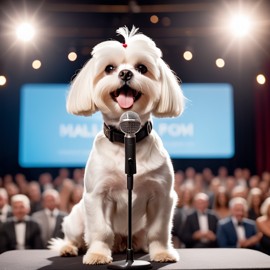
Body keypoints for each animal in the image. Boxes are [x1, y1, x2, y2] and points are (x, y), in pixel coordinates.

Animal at [49, 26, 185, 264]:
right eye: (109, 68)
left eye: (141, 68)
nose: (125, 74)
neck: (125, 140)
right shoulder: (97, 196)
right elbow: (101, 231)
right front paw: (97, 254)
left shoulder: (162, 196)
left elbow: (158, 230)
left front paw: (161, 253)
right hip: (77, 217)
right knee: (73, 236)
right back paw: (69, 248)